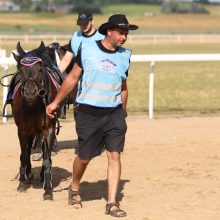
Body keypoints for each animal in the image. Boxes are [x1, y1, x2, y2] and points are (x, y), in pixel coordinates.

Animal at [11, 40, 60, 199]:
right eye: (20, 69)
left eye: (40, 69)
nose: (30, 93)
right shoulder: (23, 130)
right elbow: (24, 155)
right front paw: (22, 182)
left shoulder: (48, 129)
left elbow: (47, 157)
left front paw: (48, 188)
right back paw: (28, 175)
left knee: (45, 151)